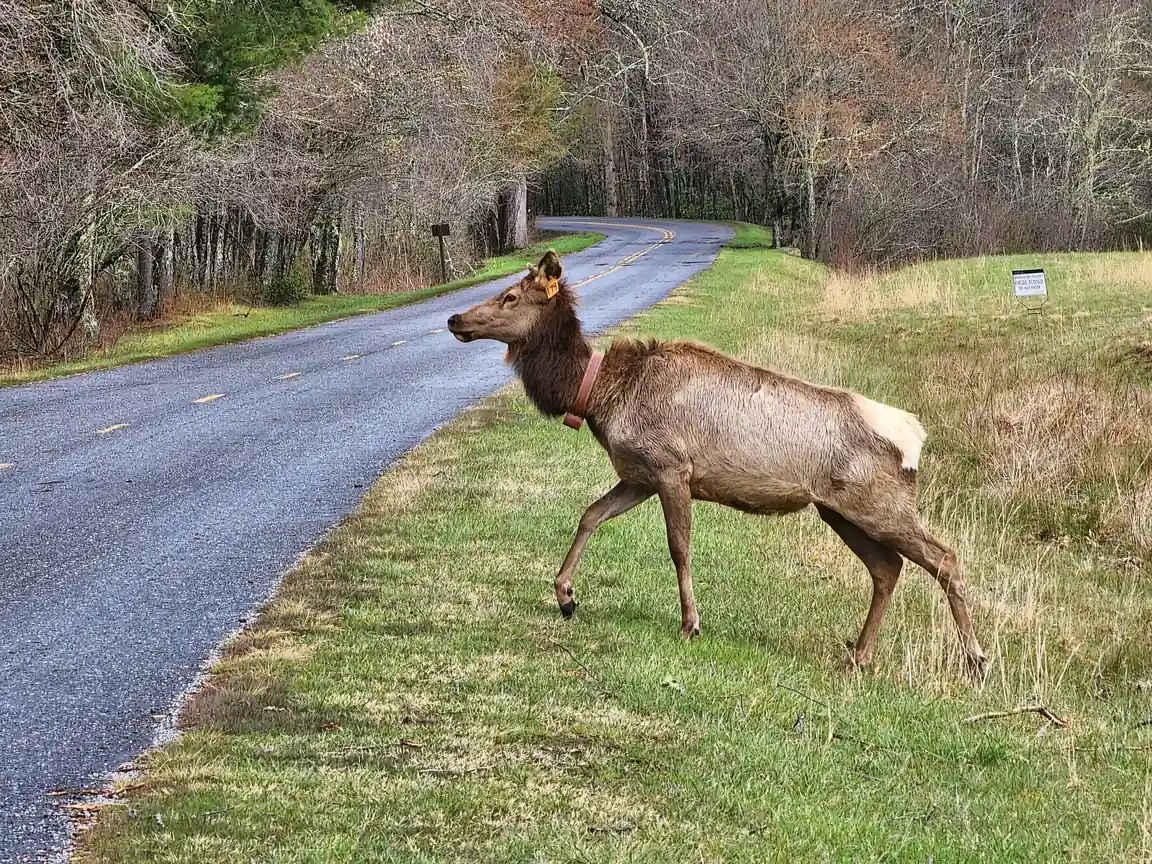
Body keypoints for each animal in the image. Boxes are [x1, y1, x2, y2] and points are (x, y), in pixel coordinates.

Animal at [447, 249, 988, 677]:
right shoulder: (638, 475)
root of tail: (915, 438)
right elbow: (590, 515)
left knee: (944, 557)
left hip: (878, 503)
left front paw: (690, 623)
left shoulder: (672, 468)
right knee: (887, 567)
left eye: (510, 297)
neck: (598, 398)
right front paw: (565, 595)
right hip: (837, 509)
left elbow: (679, 548)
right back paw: (858, 655)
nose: (455, 318)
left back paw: (976, 660)